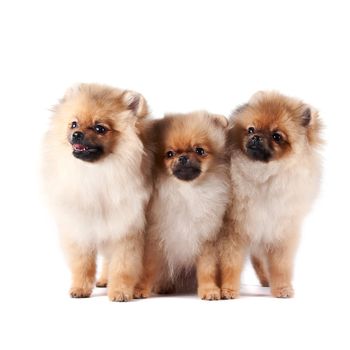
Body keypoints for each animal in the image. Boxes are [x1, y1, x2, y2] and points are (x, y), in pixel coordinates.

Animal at [42, 82, 152, 300]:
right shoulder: (81, 226)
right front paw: (80, 288)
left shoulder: (127, 229)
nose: (77, 134)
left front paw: (120, 291)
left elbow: (123, 266)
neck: (97, 173)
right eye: (73, 124)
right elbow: (82, 264)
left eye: (100, 128)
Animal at [220, 91, 324, 298]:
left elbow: (280, 266)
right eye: (251, 129)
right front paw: (228, 290)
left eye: (277, 136)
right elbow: (231, 263)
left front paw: (282, 288)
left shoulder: (280, 231)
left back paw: (267, 281)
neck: (263, 176)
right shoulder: (234, 231)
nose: (256, 137)